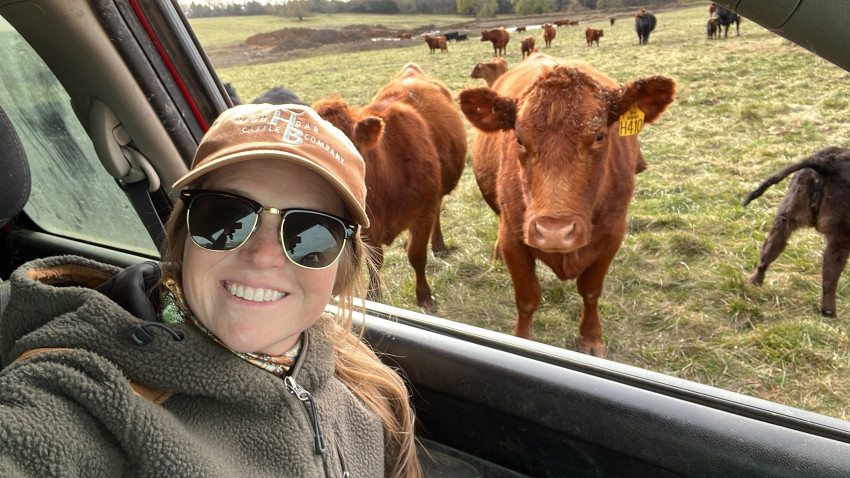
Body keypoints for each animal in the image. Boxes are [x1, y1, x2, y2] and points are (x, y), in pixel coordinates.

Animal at [458, 53, 676, 357]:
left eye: (599, 135)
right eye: (519, 139)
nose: (554, 232)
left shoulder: (613, 234)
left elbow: (591, 290)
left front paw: (592, 338)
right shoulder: (513, 237)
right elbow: (527, 297)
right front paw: (523, 341)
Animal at [743, 147, 850, 318]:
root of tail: (826, 165)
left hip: (785, 218)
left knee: (766, 255)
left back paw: (754, 284)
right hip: (841, 235)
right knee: (830, 276)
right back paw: (829, 312)